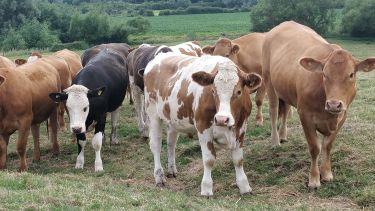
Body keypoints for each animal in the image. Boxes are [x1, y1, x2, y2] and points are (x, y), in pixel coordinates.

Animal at [142, 52, 262, 196]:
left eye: (238, 91)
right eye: (213, 91)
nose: (222, 119)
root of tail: (160, 56)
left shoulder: (241, 127)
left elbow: (238, 159)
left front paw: (244, 187)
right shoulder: (203, 127)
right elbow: (209, 159)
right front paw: (206, 188)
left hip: (173, 119)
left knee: (171, 143)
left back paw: (172, 170)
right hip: (152, 113)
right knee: (156, 145)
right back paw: (159, 177)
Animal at [262, 21, 375, 189]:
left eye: (351, 74)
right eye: (324, 74)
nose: (334, 104)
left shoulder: (342, 116)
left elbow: (327, 145)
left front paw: (327, 173)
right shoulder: (305, 115)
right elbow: (315, 147)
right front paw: (314, 179)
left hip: (285, 89)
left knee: (285, 111)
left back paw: (283, 135)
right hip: (269, 82)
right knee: (274, 111)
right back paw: (275, 141)